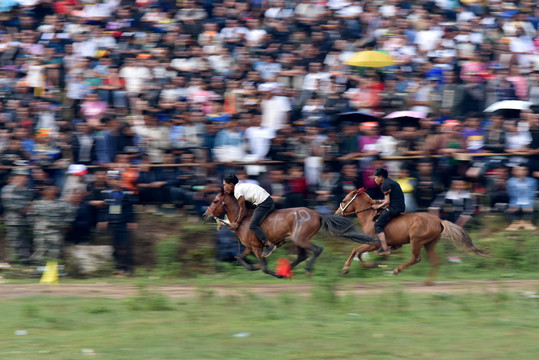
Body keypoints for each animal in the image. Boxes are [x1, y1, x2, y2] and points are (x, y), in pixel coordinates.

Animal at [204, 188, 380, 278]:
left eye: (214, 201)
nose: (205, 215)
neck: (243, 219)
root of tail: (318, 214)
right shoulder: (250, 247)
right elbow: (240, 258)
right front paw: (253, 267)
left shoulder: (257, 247)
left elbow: (264, 267)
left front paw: (275, 273)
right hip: (298, 240)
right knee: (302, 255)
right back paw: (289, 269)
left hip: (299, 238)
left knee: (316, 250)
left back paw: (306, 269)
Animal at [336, 188, 488, 284]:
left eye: (343, 201)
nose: (337, 213)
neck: (370, 217)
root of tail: (439, 220)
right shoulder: (372, 245)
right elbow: (359, 253)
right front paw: (369, 265)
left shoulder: (374, 244)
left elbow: (355, 251)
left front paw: (346, 269)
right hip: (429, 244)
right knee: (436, 261)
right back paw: (428, 282)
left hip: (416, 241)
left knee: (416, 258)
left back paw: (396, 271)